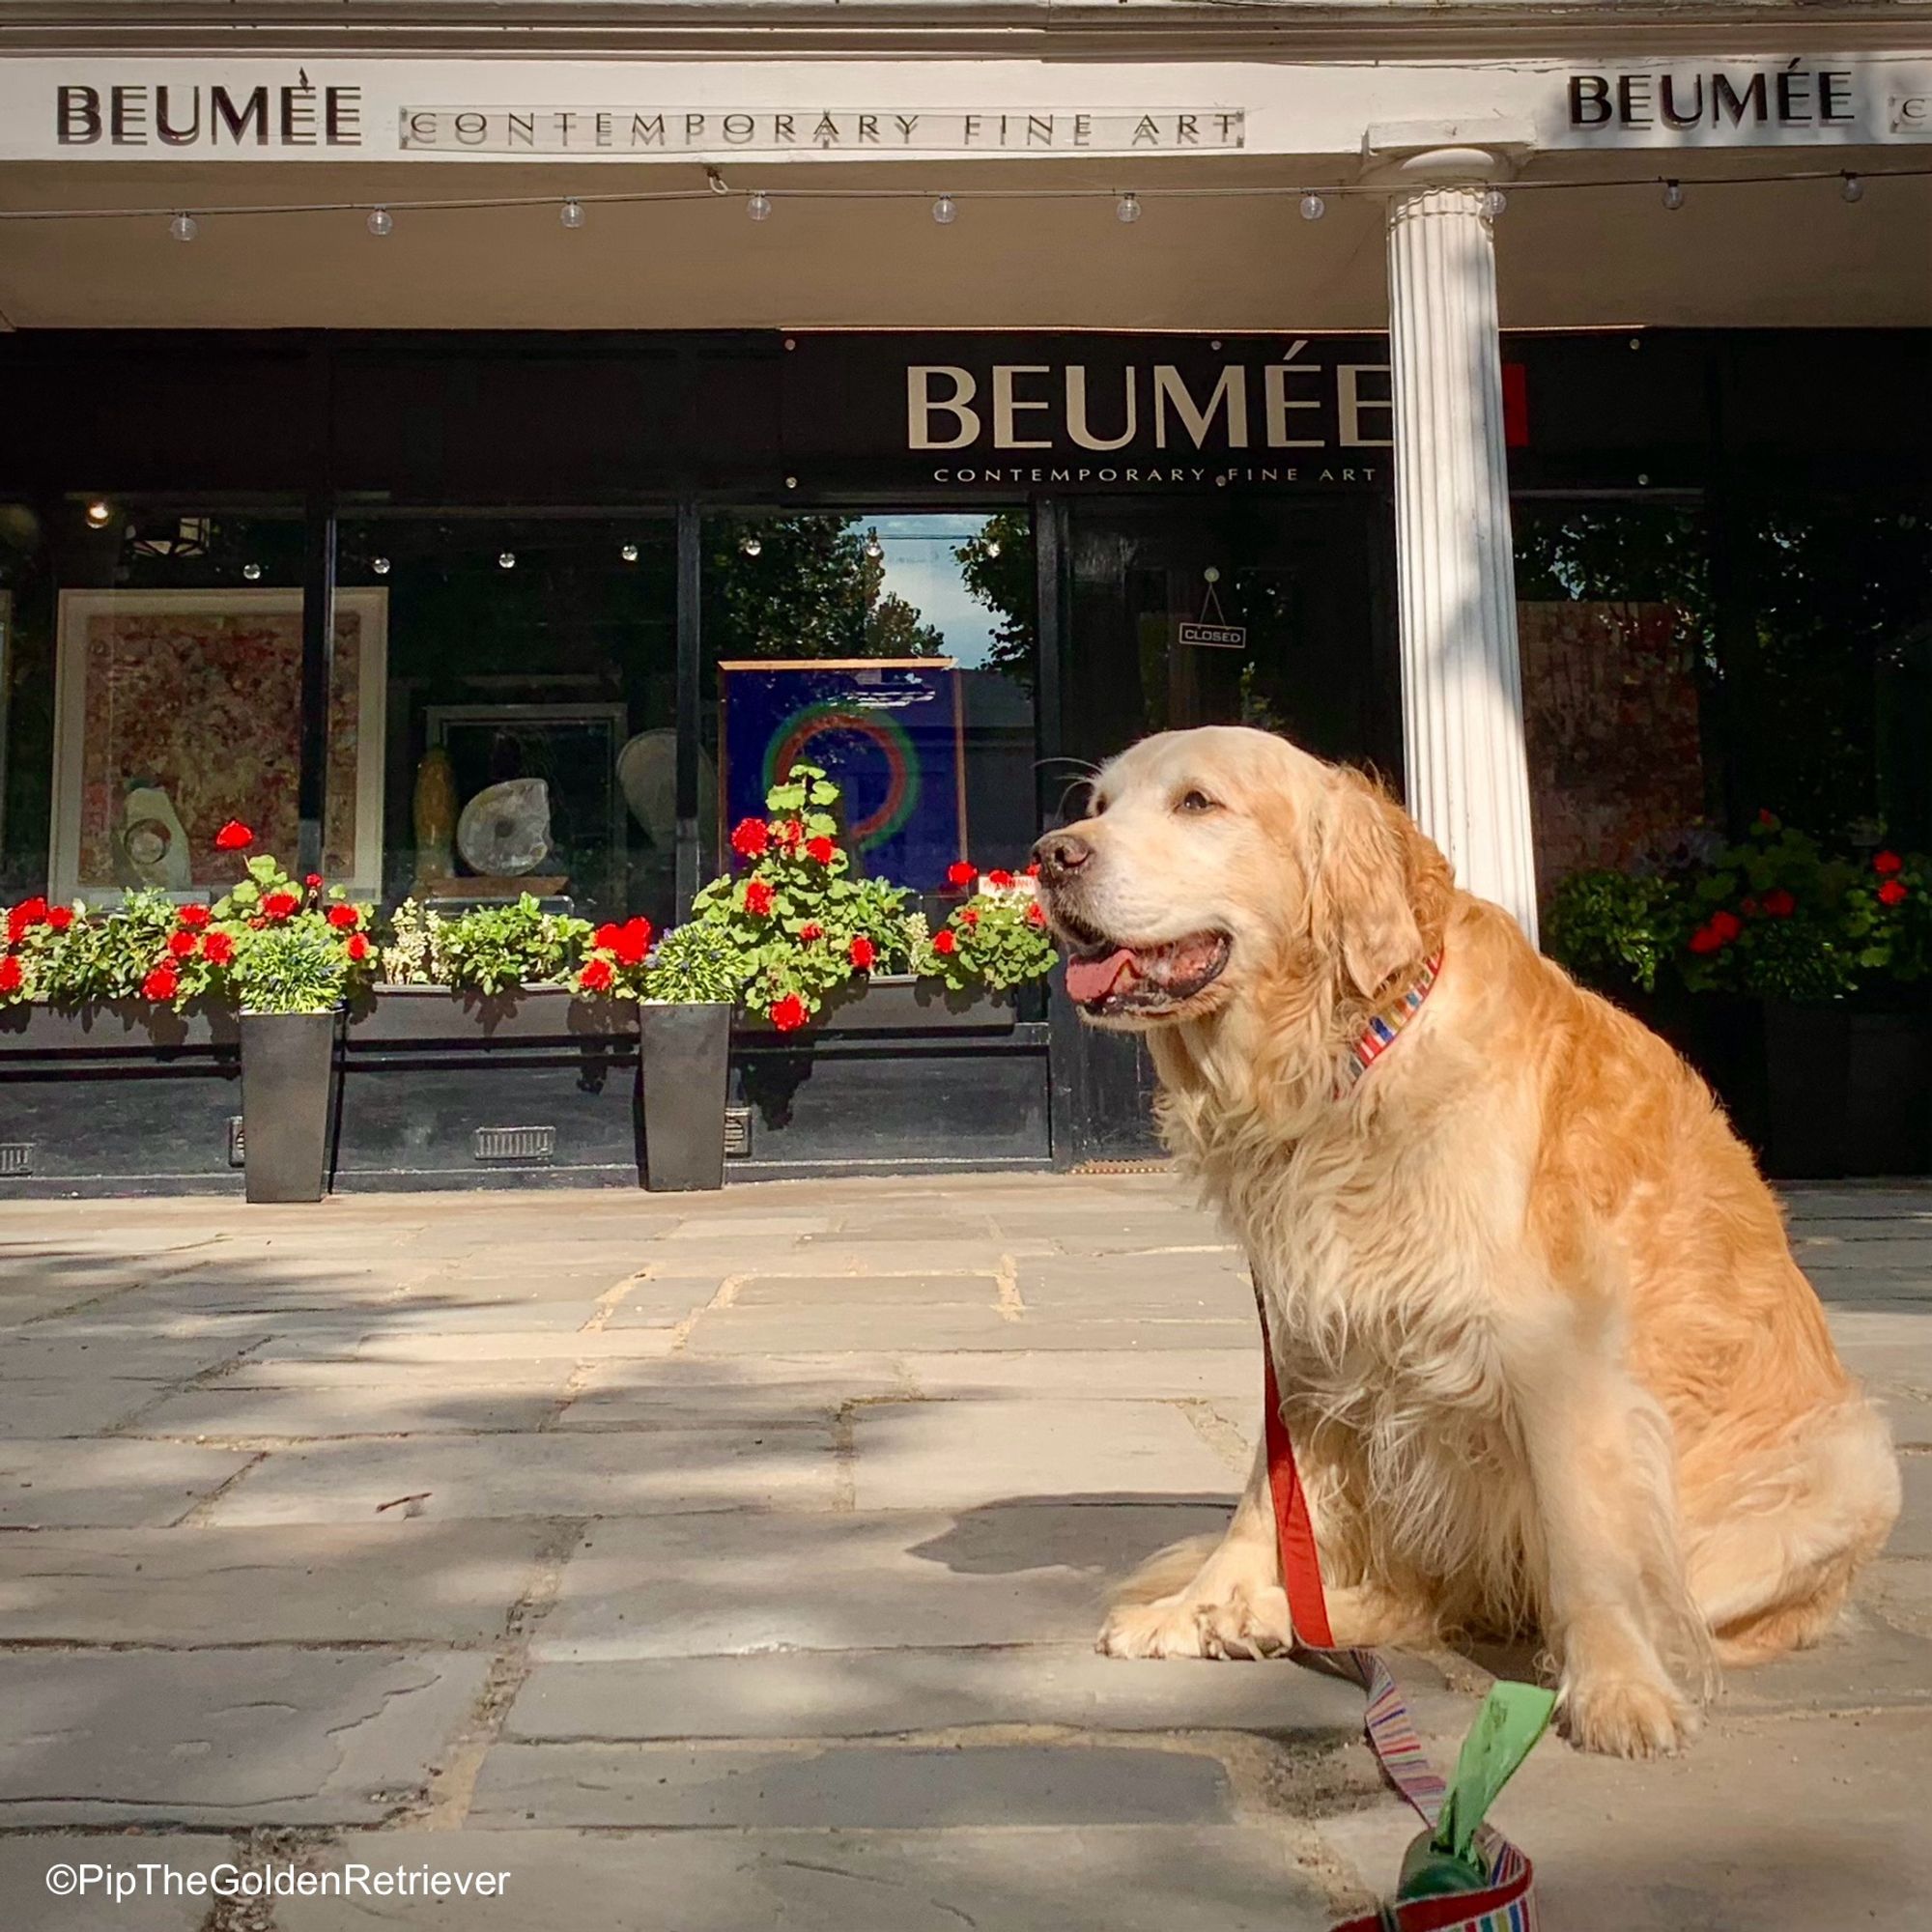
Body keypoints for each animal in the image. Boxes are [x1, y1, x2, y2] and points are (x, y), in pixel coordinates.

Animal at [1036, 726, 1893, 1754]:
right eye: (1098, 806)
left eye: (1198, 803)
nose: (1049, 858)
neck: (1353, 1063)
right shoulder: (1312, 1343)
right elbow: (1265, 1503)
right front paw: (1204, 1603)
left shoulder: (1556, 1354)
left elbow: (1587, 1545)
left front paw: (1618, 1688)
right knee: (1432, 1601)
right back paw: (1266, 1616)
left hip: (1854, 1466)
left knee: (1614, 1607)